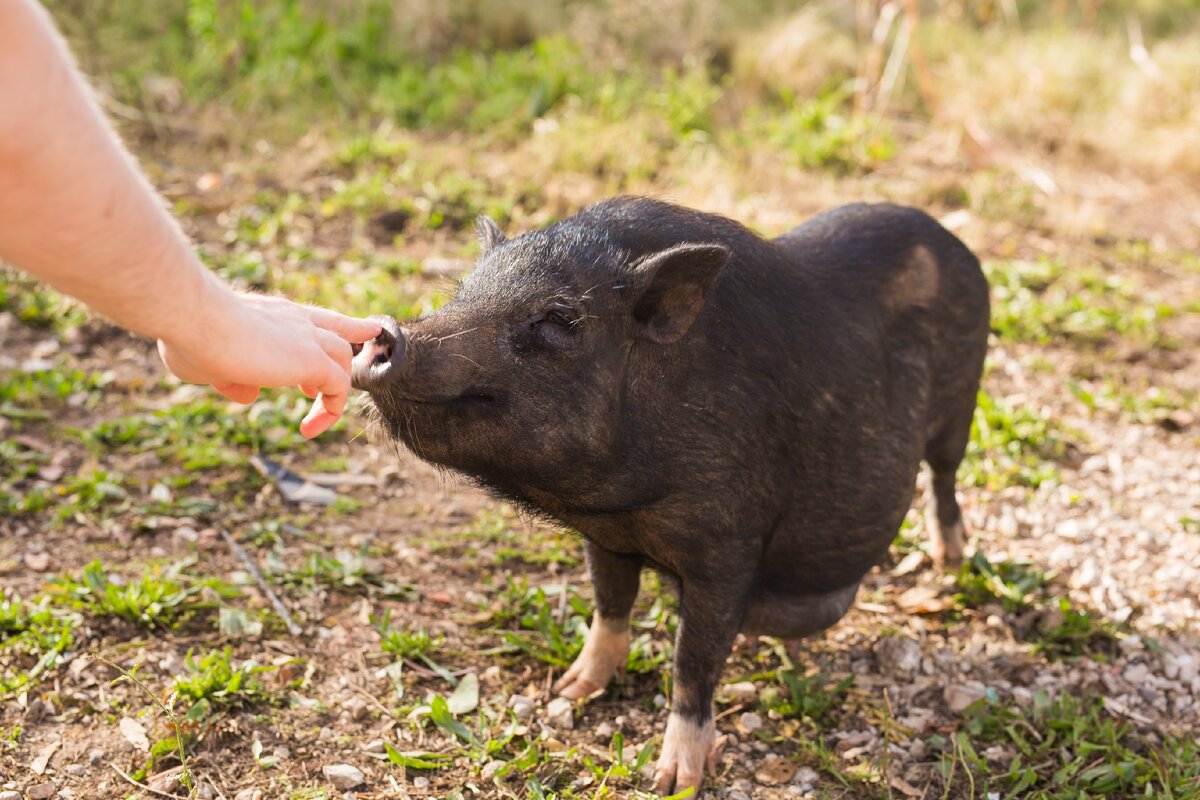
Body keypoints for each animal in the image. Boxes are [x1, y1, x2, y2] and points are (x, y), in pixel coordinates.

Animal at [350, 195, 988, 796]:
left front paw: (672, 781)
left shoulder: (730, 545)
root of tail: (950, 237)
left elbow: (693, 661)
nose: (388, 333)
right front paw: (569, 692)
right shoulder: (605, 537)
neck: (629, 503)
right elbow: (610, 605)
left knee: (945, 476)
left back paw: (946, 566)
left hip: (962, 402)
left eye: (558, 317)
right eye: (463, 292)